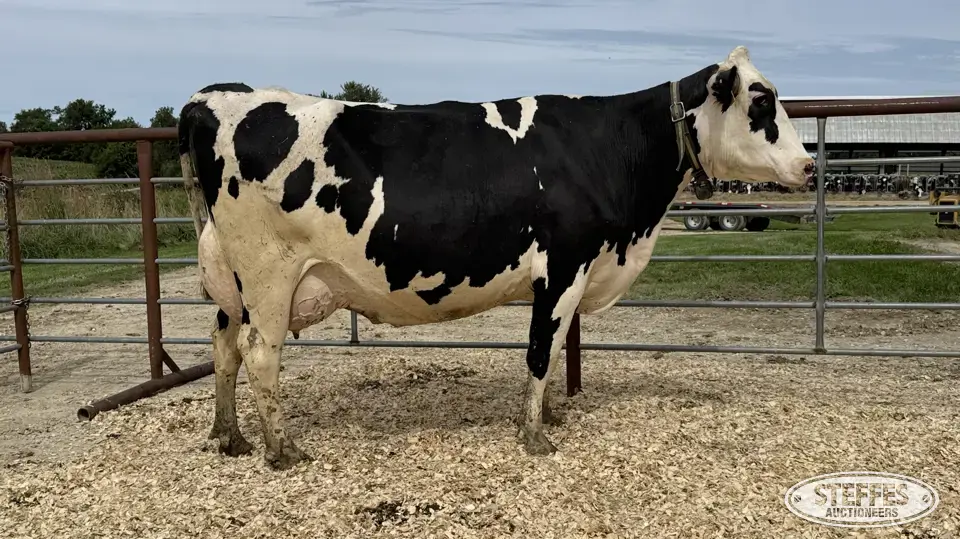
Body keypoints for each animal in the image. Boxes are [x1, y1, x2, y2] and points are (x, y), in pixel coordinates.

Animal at [177, 45, 814, 470]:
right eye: (762, 103)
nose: (809, 165)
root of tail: (216, 96)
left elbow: (551, 351)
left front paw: (549, 414)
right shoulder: (563, 267)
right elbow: (539, 350)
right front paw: (536, 436)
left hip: (234, 280)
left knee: (223, 346)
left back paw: (229, 436)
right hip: (269, 274)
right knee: (260, 353)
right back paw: (281, 449)